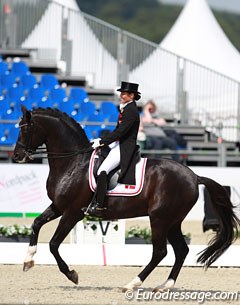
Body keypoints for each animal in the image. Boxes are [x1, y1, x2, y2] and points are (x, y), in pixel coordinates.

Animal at [13, 105, 240, 290]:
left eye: (25, 129)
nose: (16, 156)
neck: (73, 162)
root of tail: (194, 176)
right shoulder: (58, 206)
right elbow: (36, 223)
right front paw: (28, 261)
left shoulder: (73, 212)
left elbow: (53, 244)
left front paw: (72, 274)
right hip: (173, 221)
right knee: (181, 250)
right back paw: (164, 286)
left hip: (160, 219)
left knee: (160, 252)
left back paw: (132, 284)